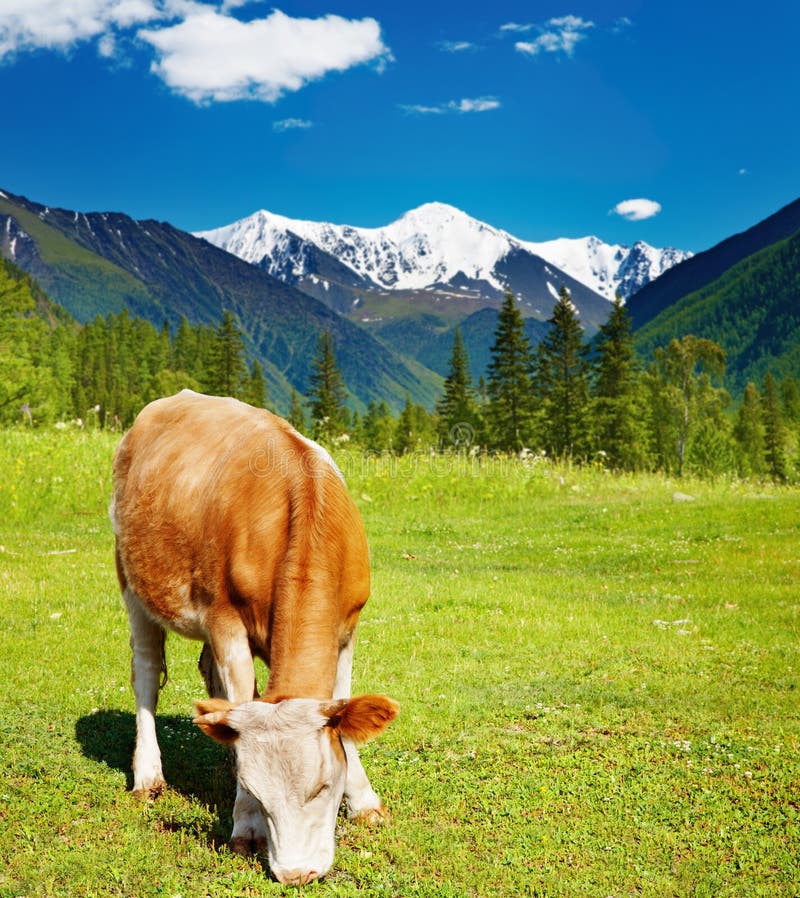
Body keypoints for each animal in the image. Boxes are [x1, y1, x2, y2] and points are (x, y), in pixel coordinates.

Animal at [111, 386, 398, 880]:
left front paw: (364, 802)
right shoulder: (225, 621)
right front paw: (245, 825)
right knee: (146, 673)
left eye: (323, 787)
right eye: (257, 791)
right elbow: (242, 696)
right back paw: (148, 774)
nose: (295, 874)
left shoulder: (347, 629)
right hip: (132, 579)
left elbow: (344, 709)